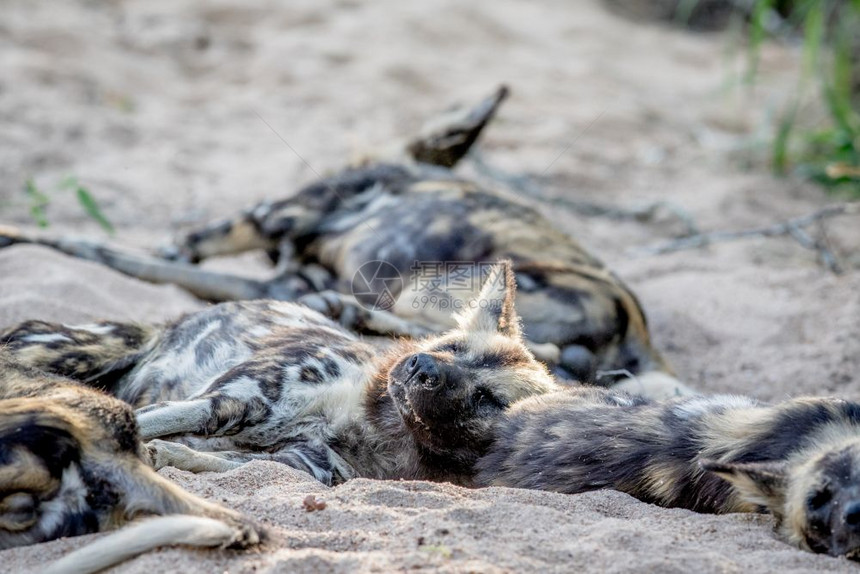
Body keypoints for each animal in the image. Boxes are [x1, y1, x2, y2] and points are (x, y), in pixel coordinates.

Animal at [0, 86, 692, 400]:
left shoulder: (271, 219)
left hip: (436, 283)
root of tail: (641, 334)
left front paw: (18, 235)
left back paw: (345, 309)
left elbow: (106, 246)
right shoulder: (278, 274)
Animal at [0, 264, 556, 488]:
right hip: (77, 352)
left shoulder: (297, 465)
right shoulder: (229, 403)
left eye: (486, 399)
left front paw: (168, 457)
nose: (422, 367)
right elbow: (148, 422)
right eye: (451, 348)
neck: (366, 425)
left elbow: (219, 463)